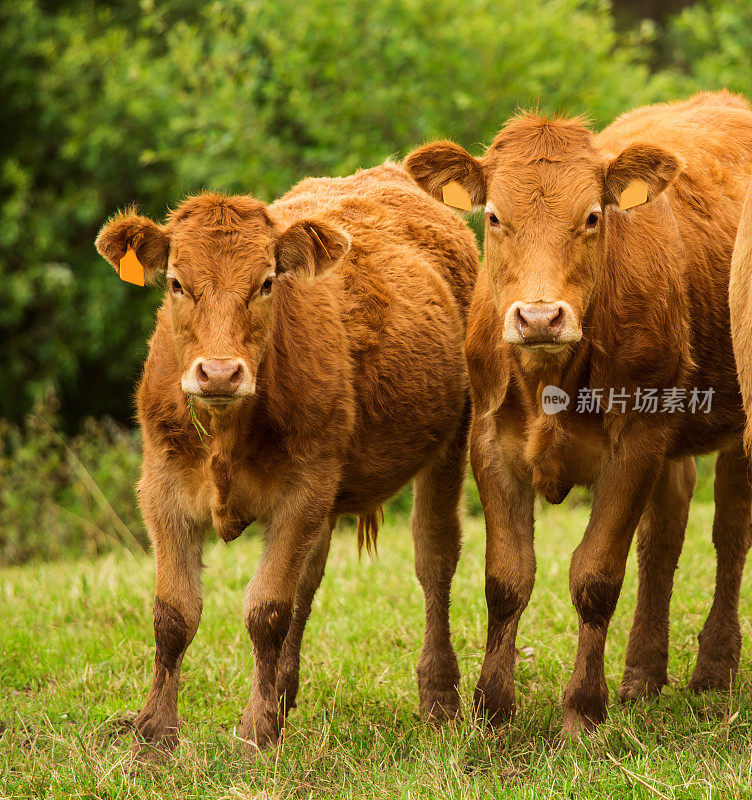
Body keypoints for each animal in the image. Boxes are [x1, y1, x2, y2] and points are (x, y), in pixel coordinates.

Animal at [95, 164, 476, 756]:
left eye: (267, 282)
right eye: (177, 282)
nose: (220, 372)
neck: (227, 434)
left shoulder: (301, 492)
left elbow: (267, 610)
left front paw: (255, 732)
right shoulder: (163, 487)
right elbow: (174, 613)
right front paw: (154, 734)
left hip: (449, 442)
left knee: (434, 556)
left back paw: (438, 698)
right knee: (309, 578)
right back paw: (281, 692)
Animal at [408, 89, 752, 736]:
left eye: (593, 216)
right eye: (494, 217)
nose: (540, 317)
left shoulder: (637, 439)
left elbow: (596, 576)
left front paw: (583, 711)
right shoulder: (491, 440)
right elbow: (506, 578)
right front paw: (493, 708)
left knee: (730, 530)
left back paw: (712, 670)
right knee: (664, 537)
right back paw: (642, 676)